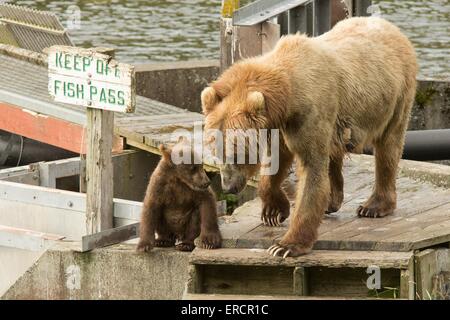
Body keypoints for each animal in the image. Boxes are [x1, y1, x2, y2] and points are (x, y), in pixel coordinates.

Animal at [202, 16, 416, 258]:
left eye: (237, 153)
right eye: (216, 152)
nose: (228, 186)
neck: (286, 97)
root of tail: (391, 26)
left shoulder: (310, 112)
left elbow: (311, 169)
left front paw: (285, 246)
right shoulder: (280, 126)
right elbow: (277, 161)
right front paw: (273, 211)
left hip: (396, 97)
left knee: (388, 148)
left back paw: (374, 206)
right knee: (335, 150)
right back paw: (333, 199)